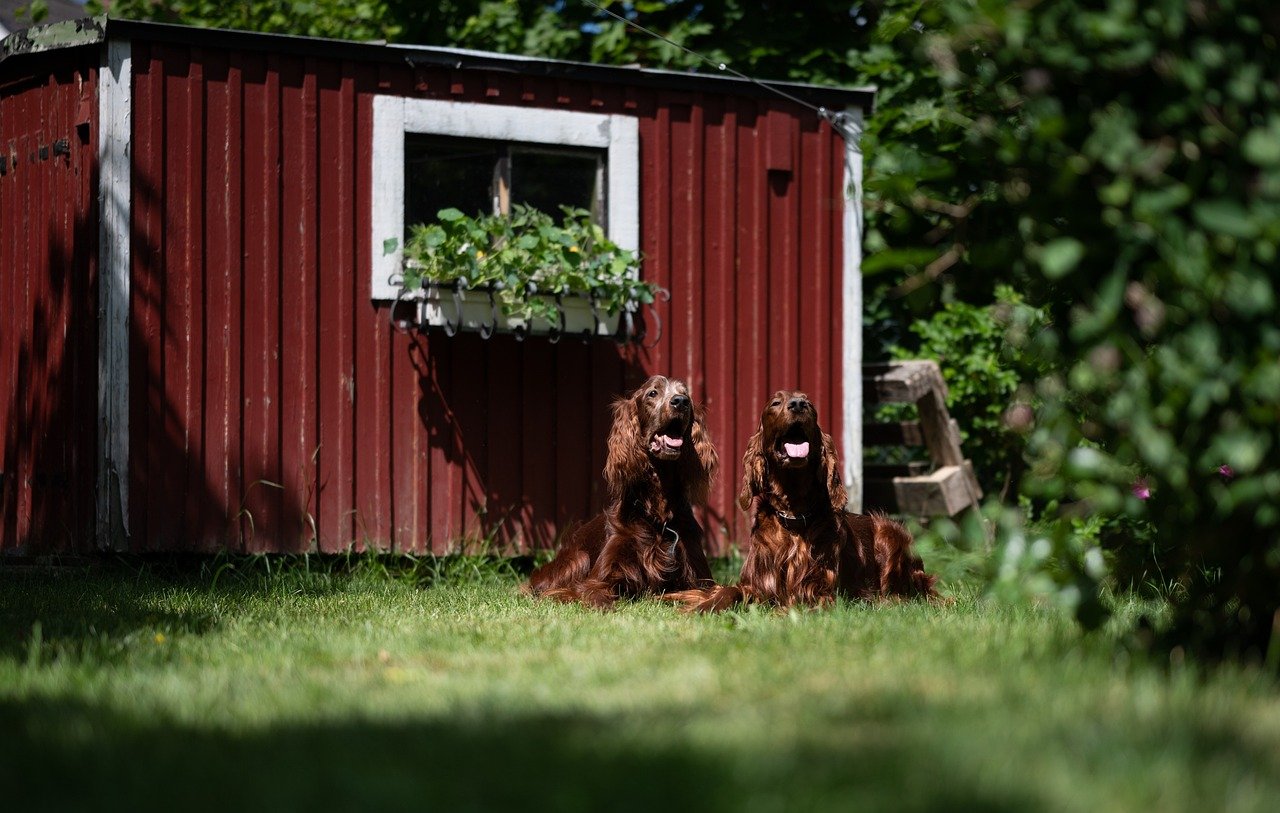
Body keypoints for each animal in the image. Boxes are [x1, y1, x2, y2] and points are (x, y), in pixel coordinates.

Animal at [522, 378, 721, 606]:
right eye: (653, 393)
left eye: (685, 394)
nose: (680, 402)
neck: (658, 516)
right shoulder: (598, 580)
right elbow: (595, 595)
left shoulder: (701, 578)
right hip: (578, 558)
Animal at [675, 389, 936, 609]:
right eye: (775, 403)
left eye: (809, 404)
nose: (798, 405)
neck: (793, 515)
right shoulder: (756, 582)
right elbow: (729, 591)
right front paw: (706, 605)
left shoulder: (818, 590)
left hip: (890, 533)